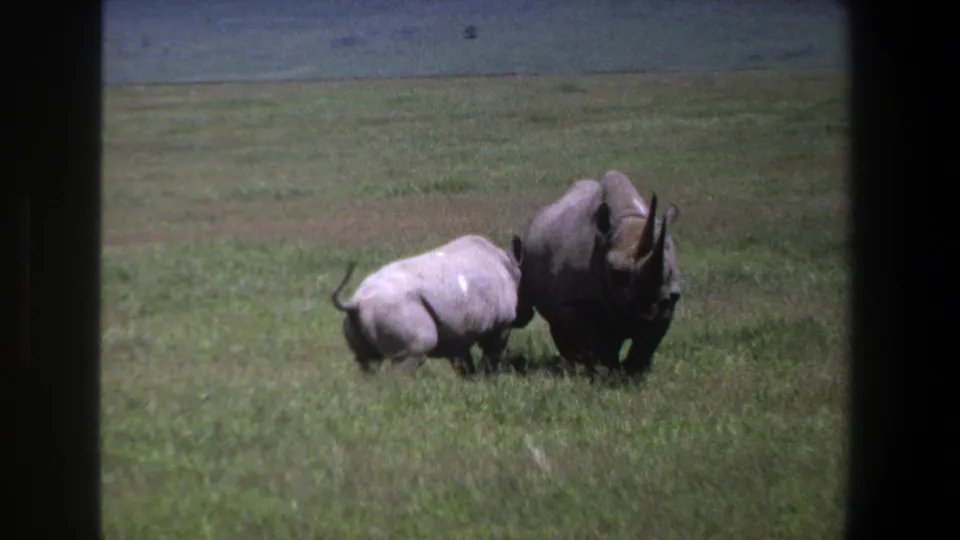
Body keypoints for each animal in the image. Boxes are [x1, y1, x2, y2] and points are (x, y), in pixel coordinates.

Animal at [330, 234, 525, 376]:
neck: (510, 266)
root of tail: (356, 302)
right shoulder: (502, 324)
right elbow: (493, 353)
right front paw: (491, 378)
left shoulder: (459, 331)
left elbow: (463, 359)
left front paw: (470, 380)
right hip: (396, 309)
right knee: (410, 356)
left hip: (360, 319)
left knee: (367, 361)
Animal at [513, 170, 681, 379]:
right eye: (618, 274)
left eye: (669, 271)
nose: (648, 313)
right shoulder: (575, 301)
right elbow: (593, 339)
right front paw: (603, 372)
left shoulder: (669, 298)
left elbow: (646, 343)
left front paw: (633, 374)